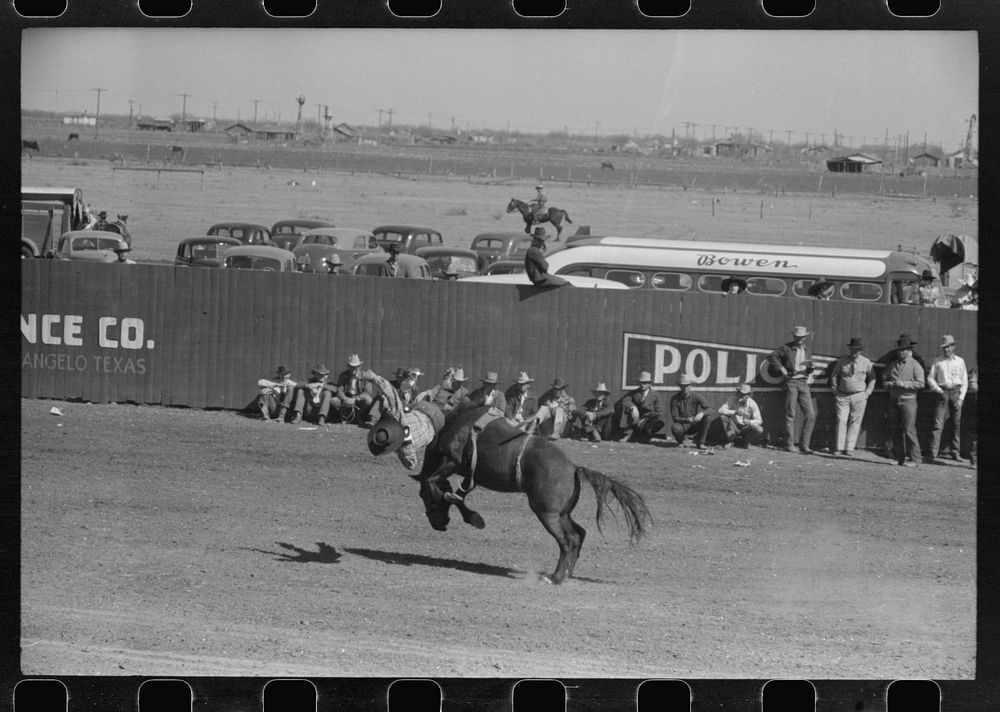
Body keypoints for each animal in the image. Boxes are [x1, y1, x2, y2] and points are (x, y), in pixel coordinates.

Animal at [410, 406, 652, 584]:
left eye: (423, 496)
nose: (439, 525)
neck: (457, 428)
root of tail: (574, 468)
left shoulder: (452, 461)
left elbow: (434, 482)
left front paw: (451, 502)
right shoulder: (471, 475)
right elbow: (459, 496)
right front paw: (473, 517)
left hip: (547, 513)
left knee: (568, 540)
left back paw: (555, 578)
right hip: (561, 513)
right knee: (579, 534)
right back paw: (566, 574)